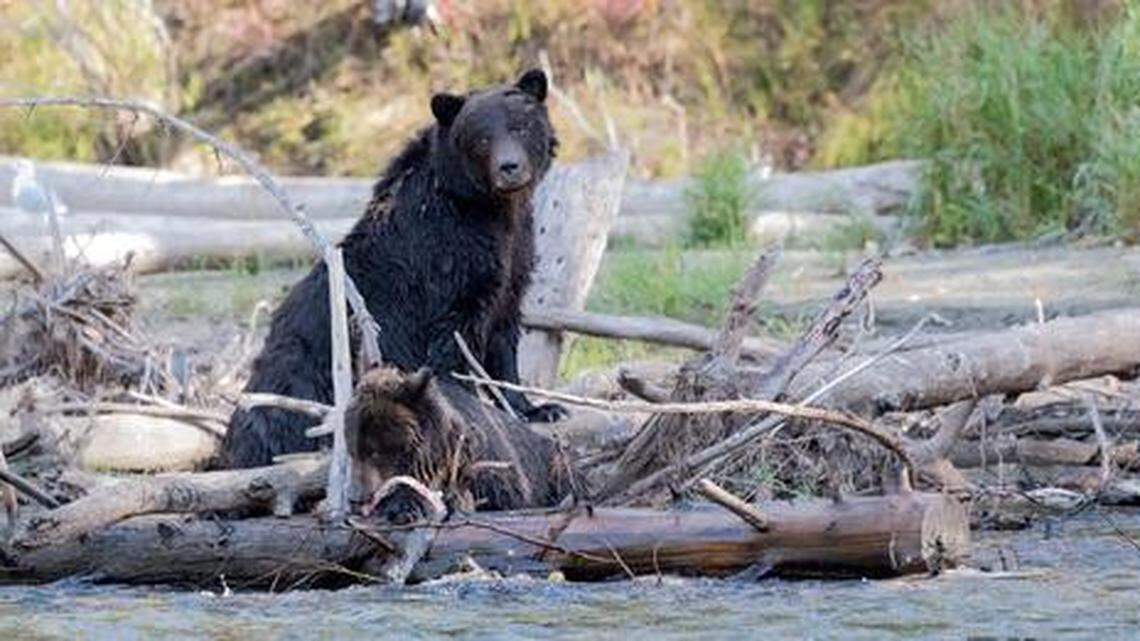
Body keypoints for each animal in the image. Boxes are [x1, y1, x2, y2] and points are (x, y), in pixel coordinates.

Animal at [220, 69, 566, 469]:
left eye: (520, 127)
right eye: (481, 138)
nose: (509, 168)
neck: (491, 209)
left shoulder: (514, 258)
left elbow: (503, 333)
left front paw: (537, 407)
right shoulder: (448, 259)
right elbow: (452, 340)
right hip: (304, 369)